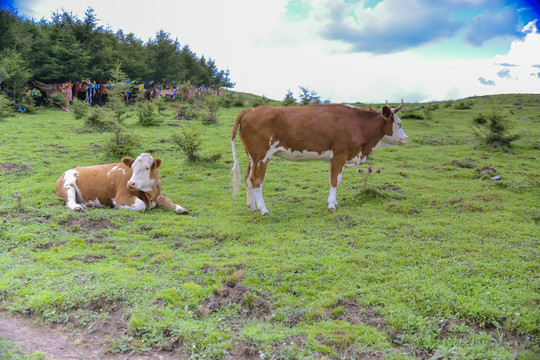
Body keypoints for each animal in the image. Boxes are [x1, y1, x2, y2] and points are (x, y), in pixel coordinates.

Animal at [56, 153, 188, 214]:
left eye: (147, 168)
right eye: (132, 167)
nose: (131, 183)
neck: (150, 196)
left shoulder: (158, 196)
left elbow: (168, 201)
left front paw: (181, 208)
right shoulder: (121, 197)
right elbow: (141, 205)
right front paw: (118, 207)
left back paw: (89, 205)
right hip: (68, 186)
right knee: (70, 202)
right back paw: (77, 207)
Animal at [231, 100, 410, 214]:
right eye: (399, 124)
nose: (406, 138)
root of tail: (251, 109)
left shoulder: (333, 158)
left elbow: (333, 179)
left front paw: (334, 202)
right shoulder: (340, 154)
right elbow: (335, 181)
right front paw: (331, 205)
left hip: (252, 157)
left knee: (247, 177)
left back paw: (252, 206)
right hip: (261, 156)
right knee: (256, 180)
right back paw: (263, 209)